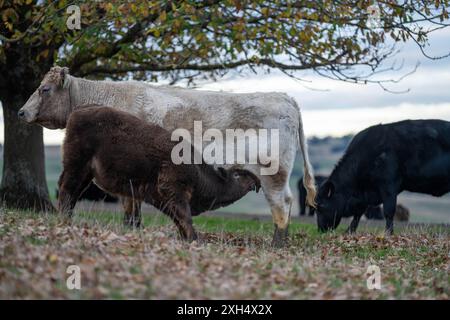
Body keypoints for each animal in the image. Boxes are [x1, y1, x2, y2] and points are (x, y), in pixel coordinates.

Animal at [316, 119, 450, 234]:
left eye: (321, 206)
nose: (320, 229)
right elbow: (358, 213)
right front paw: (349, 231)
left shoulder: (388, 186)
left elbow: (388, 211)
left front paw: (388, 233)